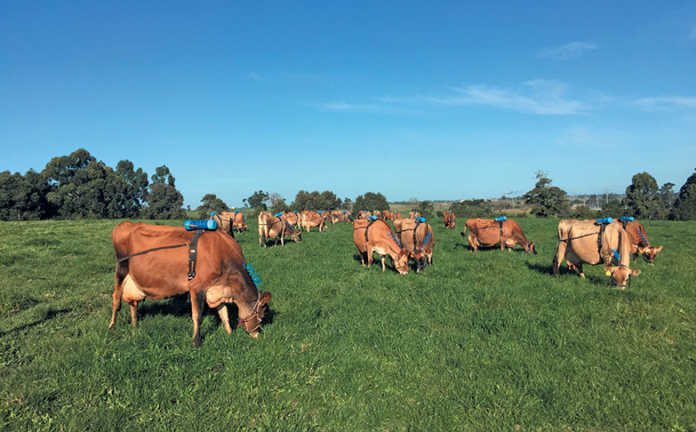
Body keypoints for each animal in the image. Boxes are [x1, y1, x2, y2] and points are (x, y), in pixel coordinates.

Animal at [109, 221, 272, 346]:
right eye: (261, 316)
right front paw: (196, 341)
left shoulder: (217, 289)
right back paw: (112, 326)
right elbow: (197, 315)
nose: (257, 335)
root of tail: (125, 224)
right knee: (116, 298)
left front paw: (230, 333)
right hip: (121, 269)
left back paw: (134, 325)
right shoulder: (197, 287)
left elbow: (223, 313)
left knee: (133, 303)